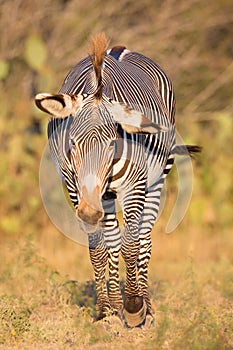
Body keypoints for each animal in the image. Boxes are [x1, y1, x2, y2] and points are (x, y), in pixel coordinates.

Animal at [34, 33, 200, 328]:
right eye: (73, 143)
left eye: (113, 144)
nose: (90, 212)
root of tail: (118, 49)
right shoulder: (76, 189)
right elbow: (99, 249)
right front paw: (106, 310)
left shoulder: (134, 187)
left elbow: (131, 245)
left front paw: (134, 307)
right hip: (107, 197)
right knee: (112, 241)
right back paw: (115, 303)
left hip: (155, 181)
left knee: (144, 241)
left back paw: (146, 308)